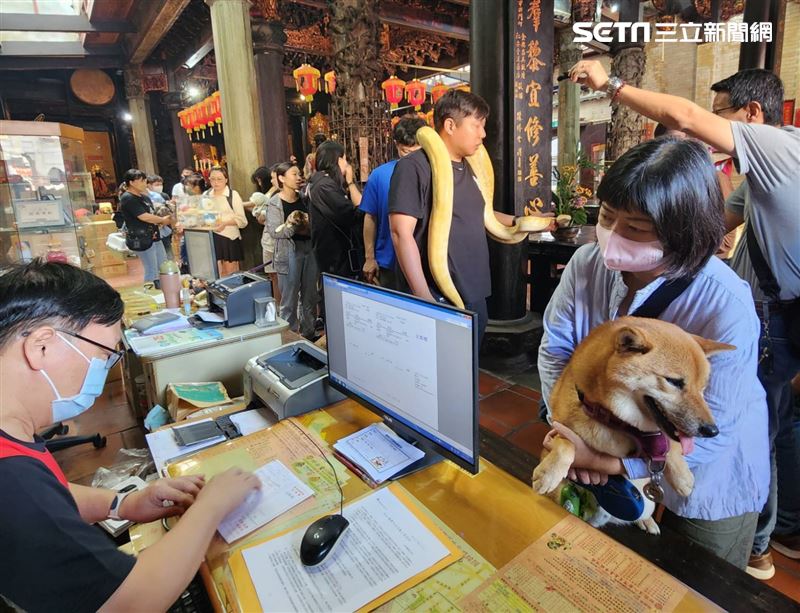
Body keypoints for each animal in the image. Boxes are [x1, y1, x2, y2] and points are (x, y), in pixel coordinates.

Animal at [536, 318, 736, 532]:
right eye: (674, 382)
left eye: (702, 388)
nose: (712, 430)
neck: (614, 420)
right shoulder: (555, 431)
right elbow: (566, 443)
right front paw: (548, 474)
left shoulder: (657, 436)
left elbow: (670, 444)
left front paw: (683, 477)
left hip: (648, 503)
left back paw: (647, 522)